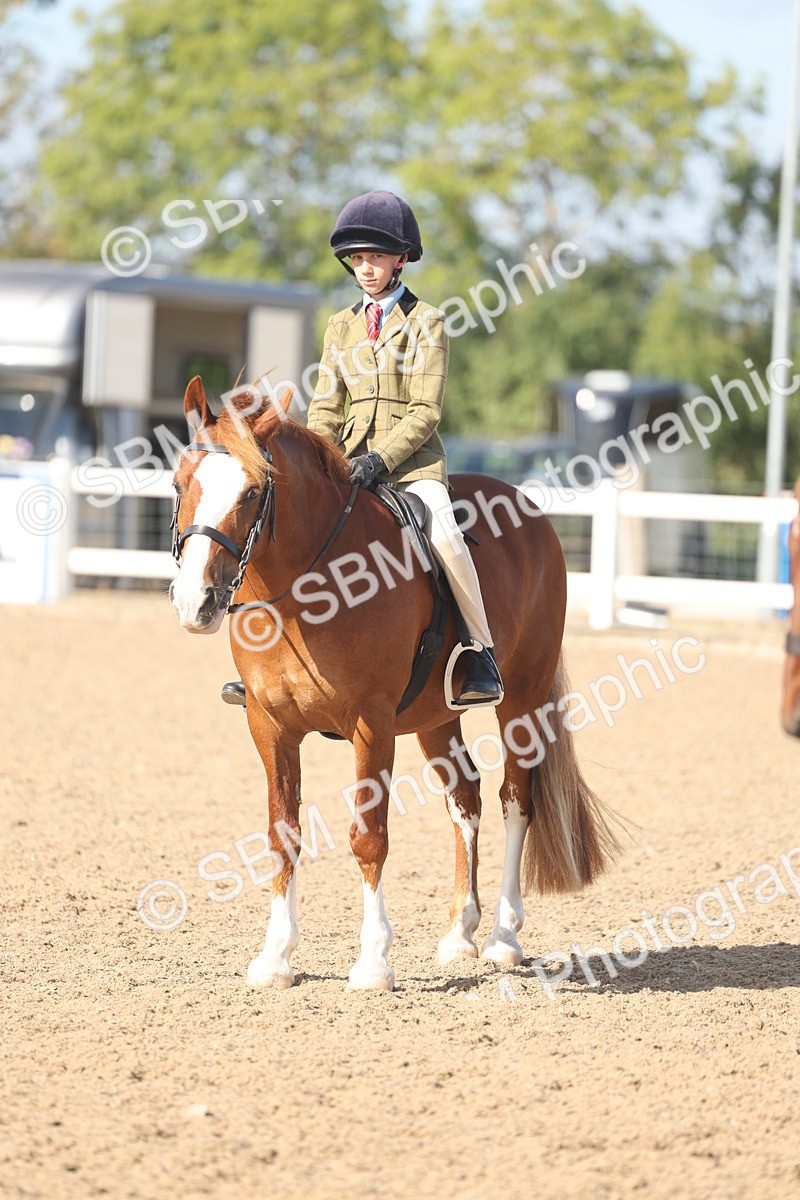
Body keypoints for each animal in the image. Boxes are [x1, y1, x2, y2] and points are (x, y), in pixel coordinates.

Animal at [169, 375, 620, 990]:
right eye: (178, 484)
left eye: (252, 492)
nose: (198, 602)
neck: (307, 585)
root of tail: (529, 508)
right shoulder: (269, 724)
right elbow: (282, 834)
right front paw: (276, 957)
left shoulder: (371, 724)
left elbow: (368, 837)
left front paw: (373, 961)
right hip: (436, 719)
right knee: (466, 797)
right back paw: (460, 934)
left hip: (523, 703)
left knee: (515, 801)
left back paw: (503, 938)